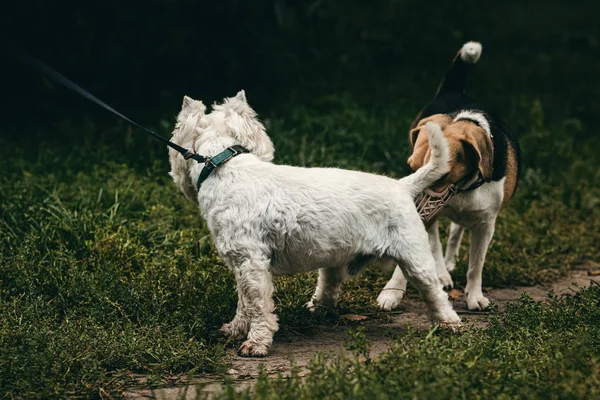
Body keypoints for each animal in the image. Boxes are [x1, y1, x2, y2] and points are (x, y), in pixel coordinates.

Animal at [169, 90, 460, 356]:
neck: (220, 167)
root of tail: (403, 185)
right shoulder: (241, 263)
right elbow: (244, 301)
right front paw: (234, 328)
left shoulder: (252, 262)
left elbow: (258, 305)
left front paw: (256, 342)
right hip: (338, 255)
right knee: (330, 285)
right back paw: (316, 308)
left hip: (414, 256)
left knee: (435, 291)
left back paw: (450, 324)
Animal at [380, 41, 520, 310]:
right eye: (411, 168)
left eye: (439, 175)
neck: (464, 188)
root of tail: (453, 90)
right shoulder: (427, 216)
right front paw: (391, 293)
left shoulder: (486, 224)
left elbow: (476, 265)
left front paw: (474, 296)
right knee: (436, 242)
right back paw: (442, 273)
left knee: (456, 231)